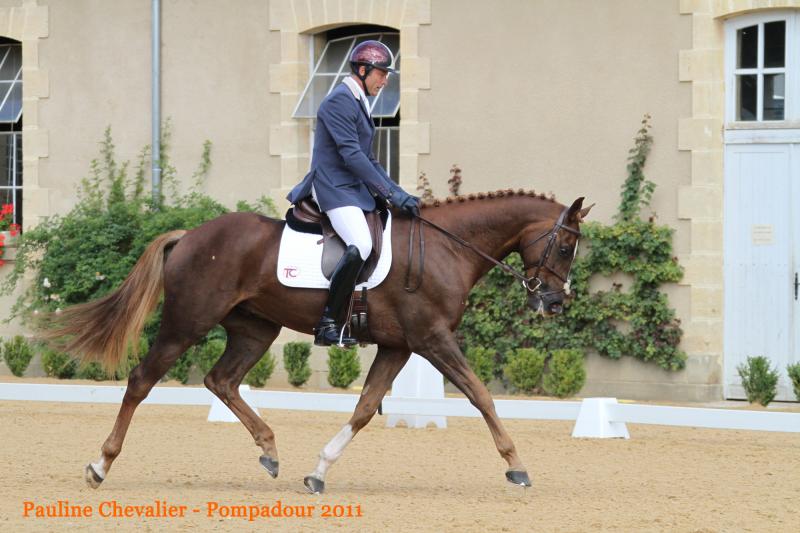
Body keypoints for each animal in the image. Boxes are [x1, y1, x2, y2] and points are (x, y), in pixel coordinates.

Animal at [49, 189, 591, 494]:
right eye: (565, 246)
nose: (555, 302)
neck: (446, 248)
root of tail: (190, 236)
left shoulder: (399, 346)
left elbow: (366, 408)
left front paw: (319, 471)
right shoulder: (432, 338)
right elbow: (481, 396)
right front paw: (517, 467)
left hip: (255, 328)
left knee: (221, 380)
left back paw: (269, 451)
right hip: (188, 323)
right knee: (141, 380)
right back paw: (100, 465)